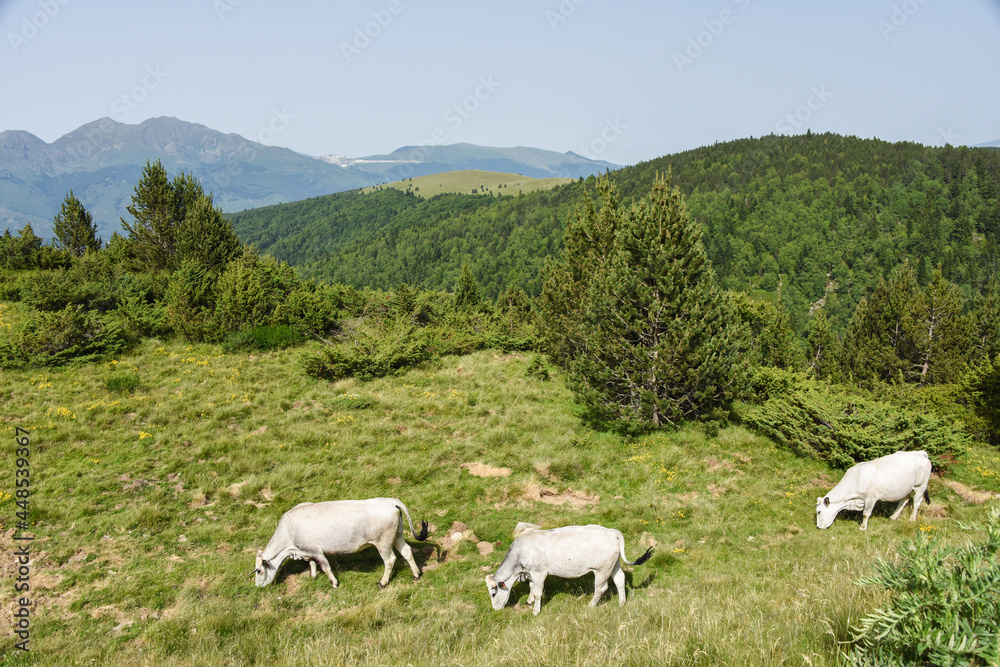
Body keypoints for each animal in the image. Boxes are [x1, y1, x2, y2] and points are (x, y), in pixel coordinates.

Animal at [251, 497, 428, 589]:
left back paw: (383, 582)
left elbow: (325, 566)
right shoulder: (306, 550)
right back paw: (416, 574)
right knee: (407, 551)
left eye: (259, 571)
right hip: (397, 535)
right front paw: (313, 576)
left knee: (390, 560)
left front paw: (334, 583)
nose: (257, 586)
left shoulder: (316, 551)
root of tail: (390, 501)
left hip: (383, 542)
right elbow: (312, 564)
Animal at [485, 524, 653, 615]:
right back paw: (622, 603)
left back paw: (591, 605)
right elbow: (532, 587)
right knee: (620, 580)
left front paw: (535, 610)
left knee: (601, 588)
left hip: (602, 570)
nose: (495, 609)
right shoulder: (531, 573)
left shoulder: (539, 573)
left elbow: (538, 592)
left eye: (493, 593)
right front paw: (529, 600)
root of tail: (612, 531)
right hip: (614, 565)